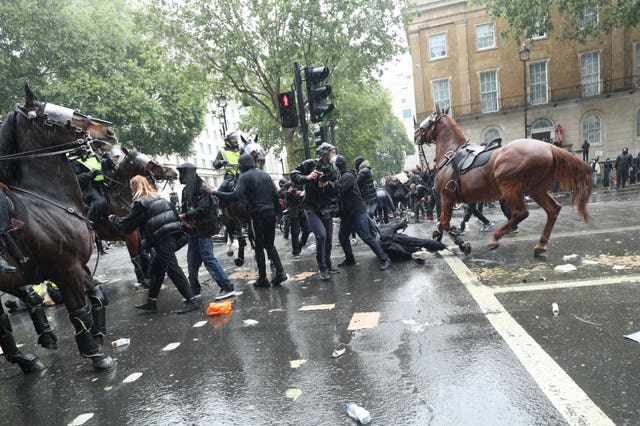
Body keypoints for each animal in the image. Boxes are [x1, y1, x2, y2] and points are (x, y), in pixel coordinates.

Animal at [0, 85, 117, 372]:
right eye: (54, 116)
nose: (108, 133)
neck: (46, 198)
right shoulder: (65, 269)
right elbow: (77, 312)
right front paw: (95, 355)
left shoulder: (77, 266)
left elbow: (97, 296)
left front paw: (98, 334)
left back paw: (26, 360)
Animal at [412, 105, 592, 260]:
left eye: (428, 121)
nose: (416, 136)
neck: (450, 154)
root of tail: (549, 147)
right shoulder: (451, 199)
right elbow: (443, 223)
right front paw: (439, 239)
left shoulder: (447, 197)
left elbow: (444, 223)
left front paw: (461, 244)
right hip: (536, 189)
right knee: (553, 210)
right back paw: (540, 245)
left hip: (510, 188)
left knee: (520, 213)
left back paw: (495, 239)